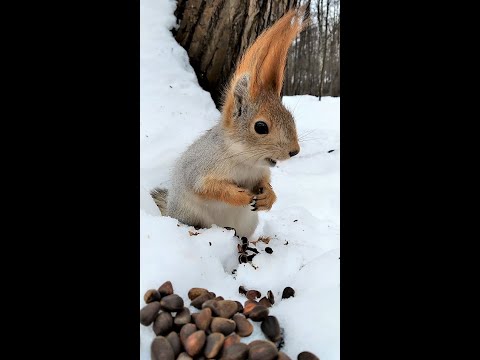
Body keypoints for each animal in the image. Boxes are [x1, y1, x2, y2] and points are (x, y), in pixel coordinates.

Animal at [151, 4, 308, 239]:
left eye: (290, 117)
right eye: (260, 127)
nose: (294, 151)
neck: (244, 161)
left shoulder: (261, 172)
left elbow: (266, 183)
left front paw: (268, 196)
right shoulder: (199, 168)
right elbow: (208, 188)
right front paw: (241, 196)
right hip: (191, 215)